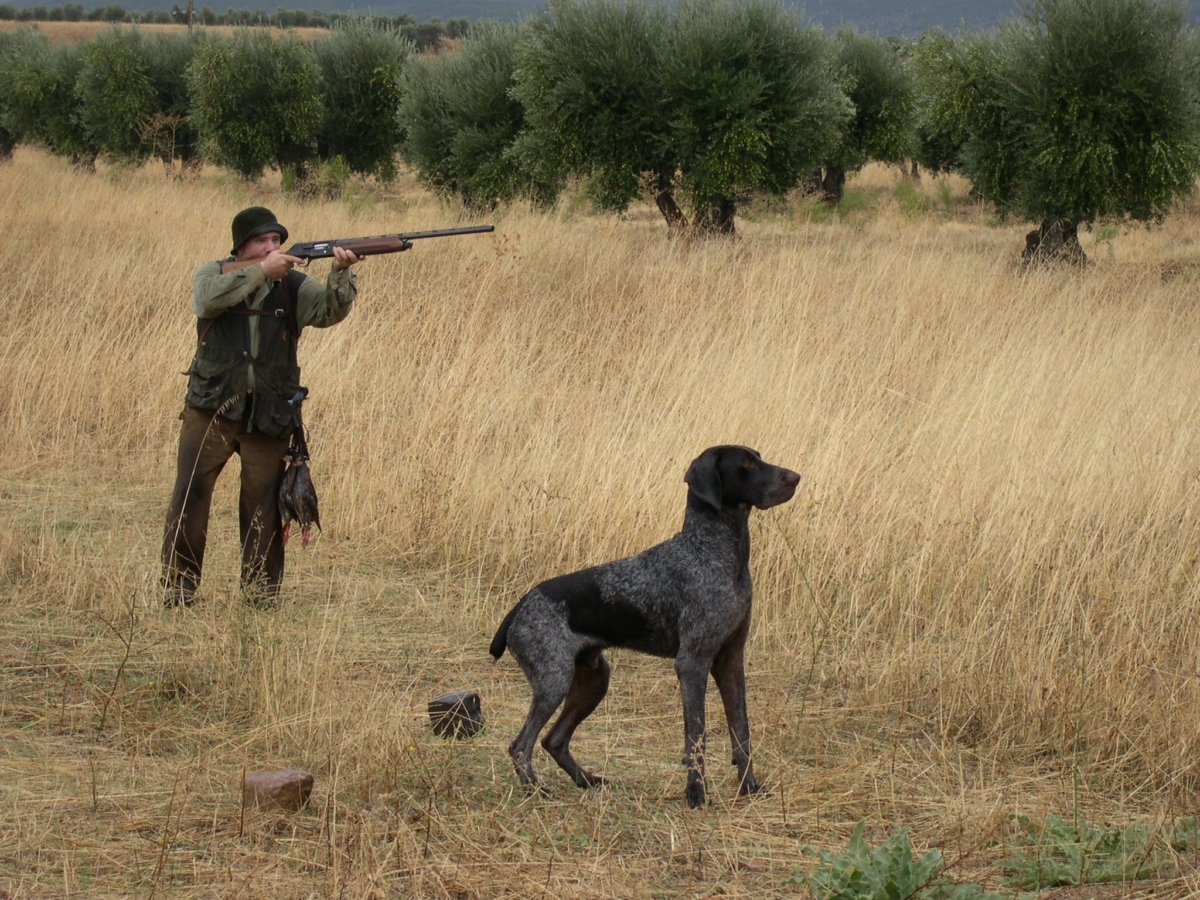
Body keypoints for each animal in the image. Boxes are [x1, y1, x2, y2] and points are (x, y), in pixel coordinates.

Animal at [492, 448, 801, 806]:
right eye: (747, 463)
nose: (796, 478)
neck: (715, 553)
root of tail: (520, 606)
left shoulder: (731, 661)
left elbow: (741, 732)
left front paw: (749, 787)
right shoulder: (693, 663)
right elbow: (697, 736)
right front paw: (696, 794)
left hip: (594, 680)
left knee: (553, 740)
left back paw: (586, 780)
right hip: (553, 681)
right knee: (521, 745)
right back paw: (535, 788)